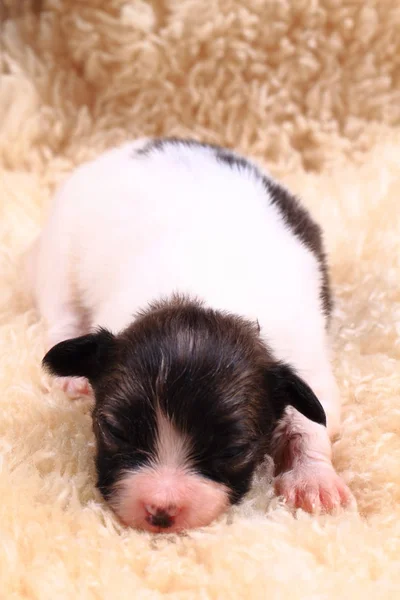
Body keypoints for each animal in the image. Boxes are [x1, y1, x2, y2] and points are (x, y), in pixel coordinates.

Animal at [28, 138, 354, 532]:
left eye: (233, 449)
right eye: (115, 430)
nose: (160, 511)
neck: (203, 297)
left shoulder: (306, 364)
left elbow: (311, 422)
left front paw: (314, 480)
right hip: (60, 253)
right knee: (62, 312)